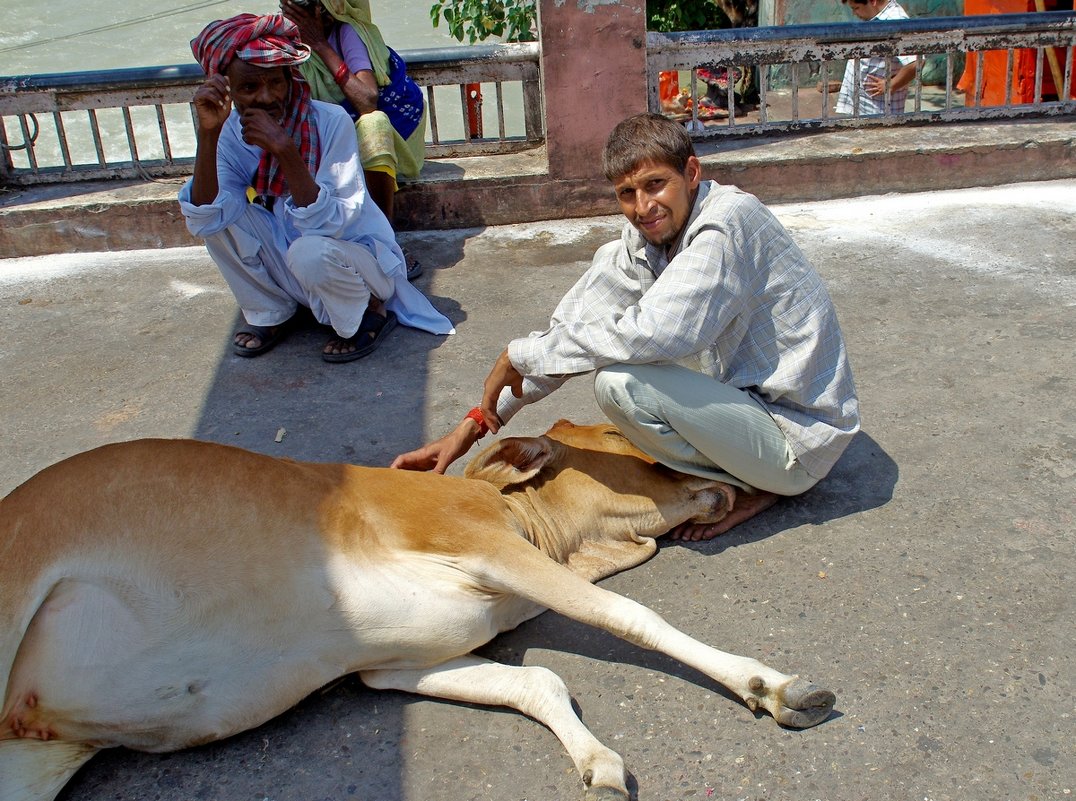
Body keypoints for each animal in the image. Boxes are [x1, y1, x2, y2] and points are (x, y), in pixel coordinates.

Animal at [0, 422, 834, 796]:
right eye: (639, 453)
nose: (728, 485)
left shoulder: (391, 664)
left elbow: (538, 681)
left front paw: (595, 758)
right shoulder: (481, 543)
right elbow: (627, 616)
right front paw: (772, 685)